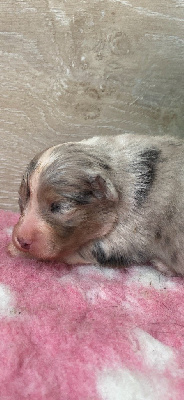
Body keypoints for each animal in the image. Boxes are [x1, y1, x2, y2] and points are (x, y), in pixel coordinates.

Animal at [9, 134, 184, 276]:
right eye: (22, 201)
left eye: (60, 206)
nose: (22, 240)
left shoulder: (124, 240)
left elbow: (70, 253)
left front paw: (13, 250)